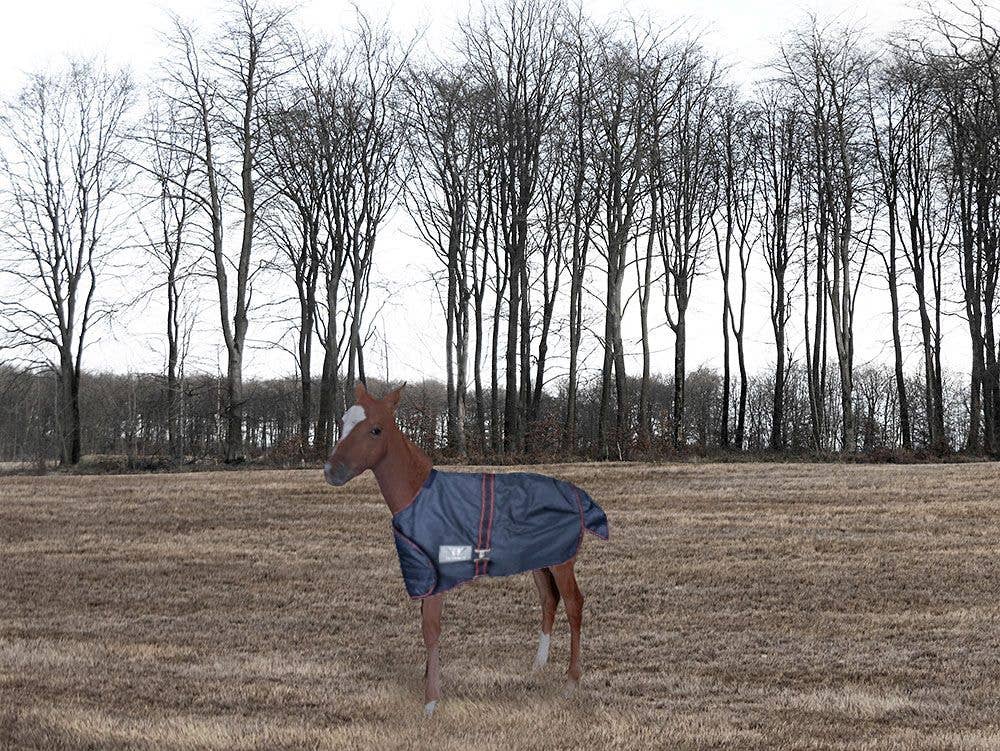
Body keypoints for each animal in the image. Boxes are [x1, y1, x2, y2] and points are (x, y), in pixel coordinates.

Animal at [324, 383, 608, 716]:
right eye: (342, 422)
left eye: (376, 429)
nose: (332, 470)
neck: (419, 496)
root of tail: (579, 496)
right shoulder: (425, 574)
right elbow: (425, 623)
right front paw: (427, 681)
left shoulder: (437, 575)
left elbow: (431, 629)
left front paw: (431, 701)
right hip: (542, 559)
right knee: (549, 600)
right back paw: (539, 665)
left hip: (563, 561)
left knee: (574, 603)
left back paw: (571, 681)